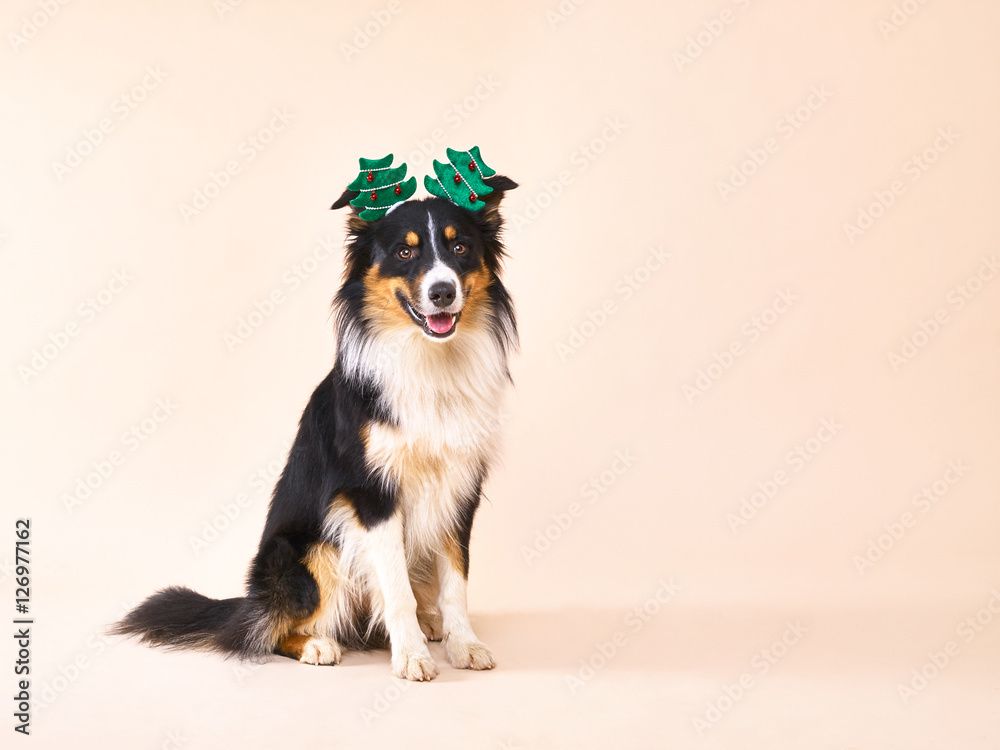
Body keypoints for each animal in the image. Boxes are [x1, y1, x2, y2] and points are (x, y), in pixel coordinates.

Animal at [113, 153, 520, 680]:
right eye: (404, 253)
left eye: (461, 248)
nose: (442, 292)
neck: (427, 360)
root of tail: (251, 599)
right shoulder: (370, 495)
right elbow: (397, 591)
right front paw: (411, 656)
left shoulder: (460, 486)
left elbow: (456, 580)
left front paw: (463, 644)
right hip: (311, 549)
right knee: (263, 631)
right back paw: (315, 644)